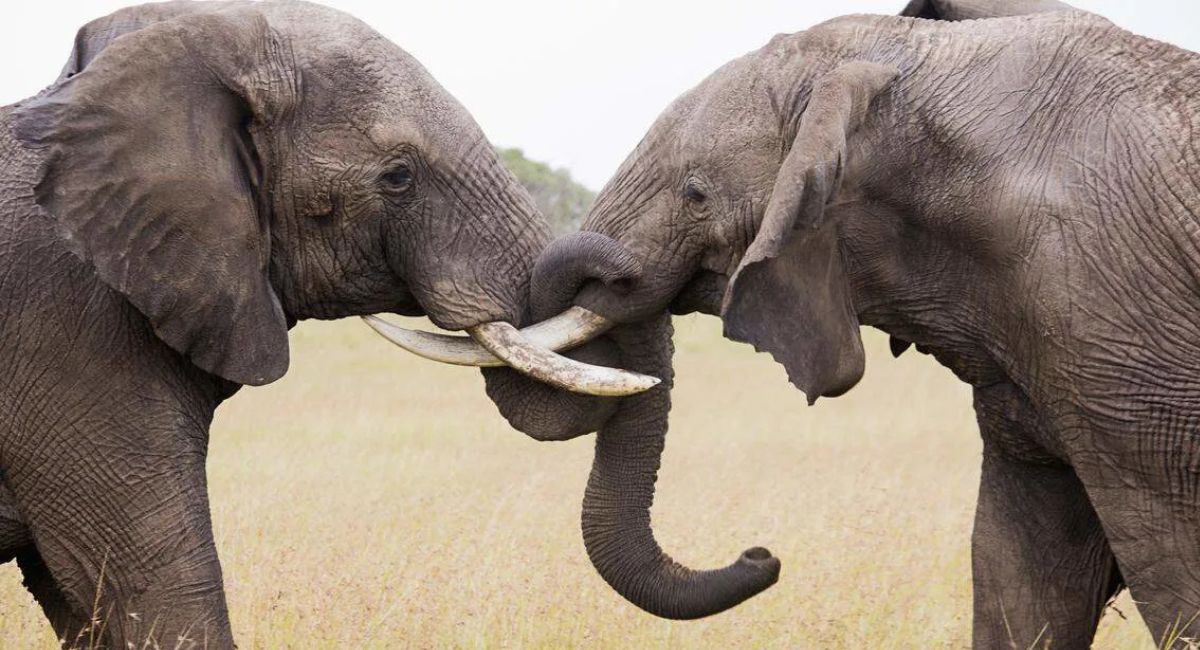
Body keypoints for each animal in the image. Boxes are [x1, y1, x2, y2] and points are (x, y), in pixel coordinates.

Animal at [425, 1, 1200, 648]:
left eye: (696, 194)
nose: (761, 555)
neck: (903, 65)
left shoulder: (1115, 312)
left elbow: (1170, 566)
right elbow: (1021, 574)